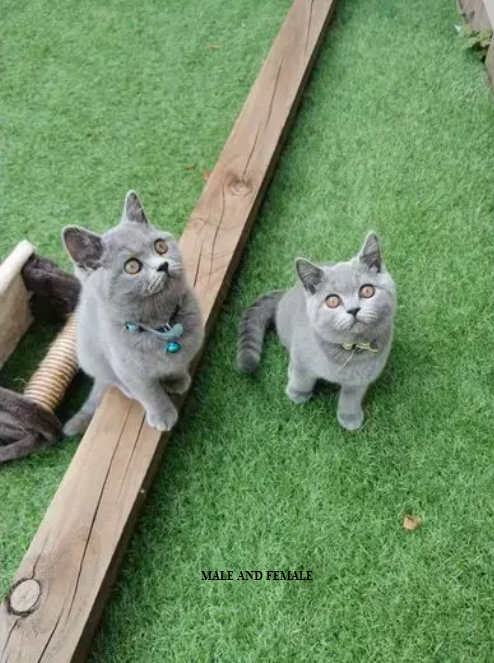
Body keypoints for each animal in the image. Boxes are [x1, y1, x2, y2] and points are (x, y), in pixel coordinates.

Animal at [62, 191, 205, 436]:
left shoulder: (185, 351)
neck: (162, 325)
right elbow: (149, 393)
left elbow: (178, 364)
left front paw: (177, 380)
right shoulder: (129, 370)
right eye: (132, 266)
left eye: (160, 246)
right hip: (91, 358)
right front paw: (162, 415)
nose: (164, 265)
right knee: (111, 379)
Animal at [237, 233, 396, 430]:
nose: (353, 310)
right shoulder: (301, 354)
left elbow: (351, 397)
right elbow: (302, 376)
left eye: (367, 290)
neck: (348, 352)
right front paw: (297, 394)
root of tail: (285, 294)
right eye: (332, 301)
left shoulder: (361, 379)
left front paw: (349, 417)